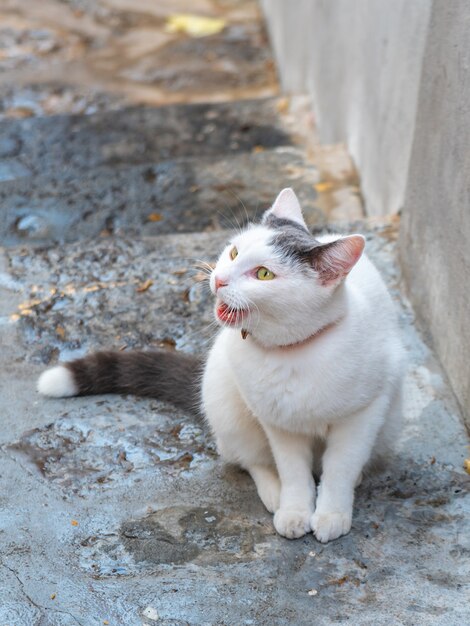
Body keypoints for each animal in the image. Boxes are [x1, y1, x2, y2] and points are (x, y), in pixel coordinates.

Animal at [37, 186, 404, 540]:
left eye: (264, 274)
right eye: (234, 253)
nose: (220, 279)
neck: (292, 353)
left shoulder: (363, 415)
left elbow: (341, 467)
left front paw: (332, 514)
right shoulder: (279, 421)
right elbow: (292, 470)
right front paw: (296, 510)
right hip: (228, 406)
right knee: (249, 458)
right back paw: (274, 493)